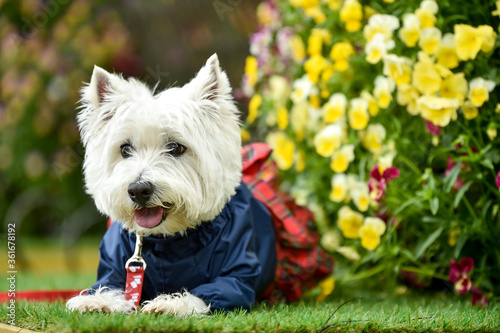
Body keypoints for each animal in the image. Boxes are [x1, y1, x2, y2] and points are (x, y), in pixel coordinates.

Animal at [66, 53, 278, 314]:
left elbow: (206, 292)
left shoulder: (237, 275)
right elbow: (111, 287)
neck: (167, 244)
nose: (138, 190)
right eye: (125, 149)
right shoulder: (116, 267)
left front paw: (171, 304)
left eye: (176, 147)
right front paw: (95, 301)